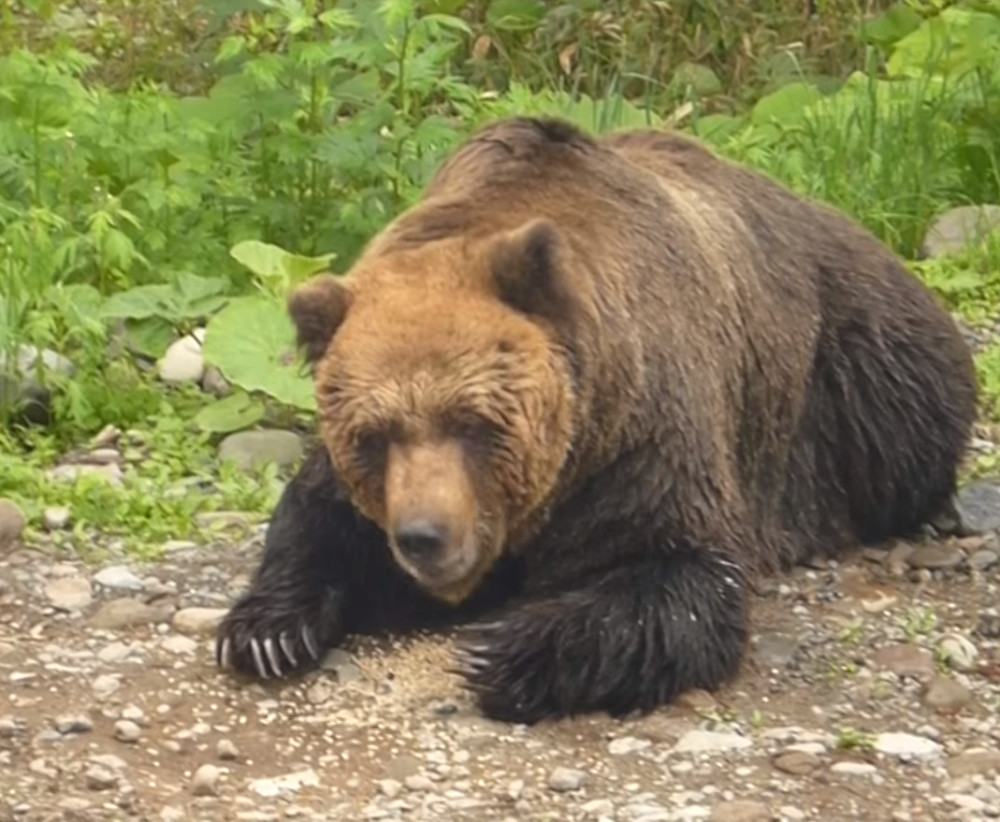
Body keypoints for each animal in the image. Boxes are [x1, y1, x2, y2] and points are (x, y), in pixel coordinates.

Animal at [213, 117, 976, 728]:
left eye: (473, 422)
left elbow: (677, 574)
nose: (425, 536)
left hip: (860, 371)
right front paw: (267, 630)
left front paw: (502, 651)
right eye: (374, 436)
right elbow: (317, 520)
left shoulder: (640, 432)